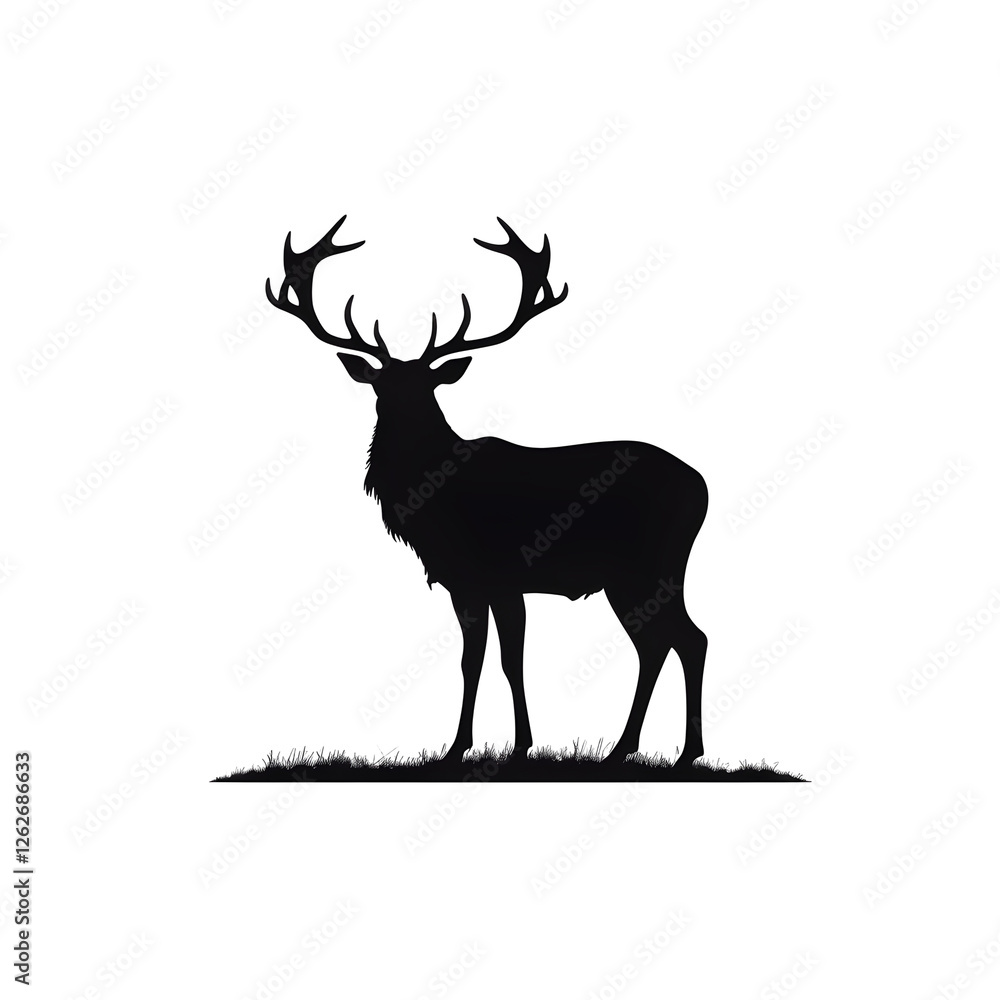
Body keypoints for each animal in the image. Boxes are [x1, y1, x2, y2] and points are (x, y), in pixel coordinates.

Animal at [265, 215, 708, 766]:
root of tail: (703, 487)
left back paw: (678, 752)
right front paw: (457, 748)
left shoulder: (501, 575)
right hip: (633, 577)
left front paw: (518, 746)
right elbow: (470, 661)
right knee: (663, 642)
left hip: (650, 566)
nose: (400, 427)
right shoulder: (464, 582)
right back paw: (634, 749)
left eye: (427, 389)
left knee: (685, 639)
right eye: (380, 387)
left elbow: (508, 659)